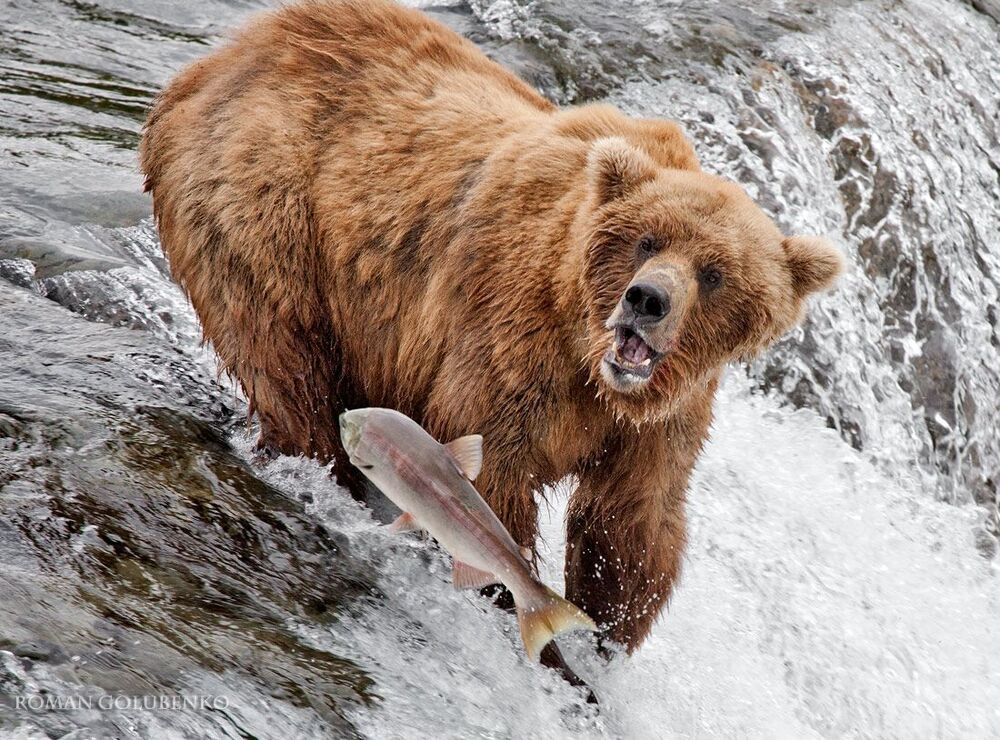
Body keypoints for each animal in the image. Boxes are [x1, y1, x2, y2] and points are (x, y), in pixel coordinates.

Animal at [140, 0, 842, 661]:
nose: (647, 299)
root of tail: (223, 56)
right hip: (264, 209)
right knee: (290, 372)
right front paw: (542, 631)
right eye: (648, 239)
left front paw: (607, 636)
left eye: (715, 272)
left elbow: (631, 519)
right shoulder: (512, 334)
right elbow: (495, 475)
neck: (588, 354)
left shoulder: (666, 412)